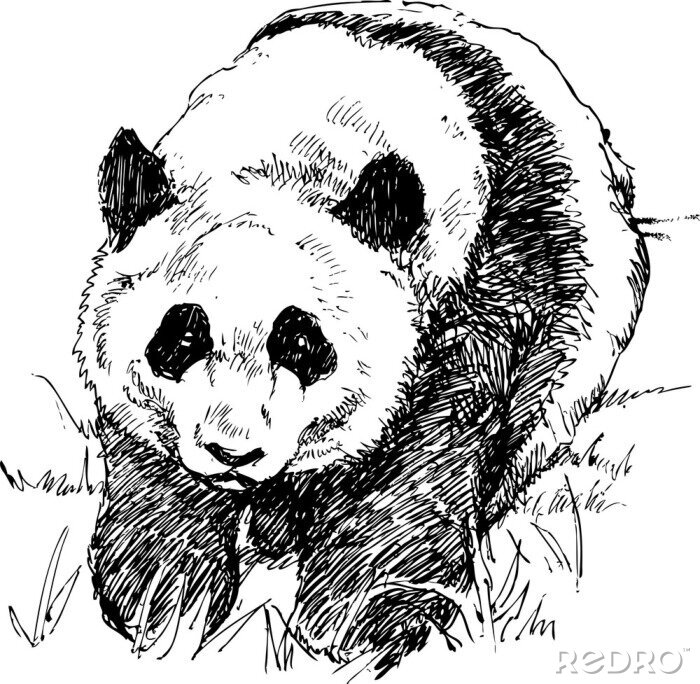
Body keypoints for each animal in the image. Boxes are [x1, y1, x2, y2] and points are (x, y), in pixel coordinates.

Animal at [75, 0, 648, 674]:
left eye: (300, 344)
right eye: (182, 339)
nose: (233, 453)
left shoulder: (488, 276)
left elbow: (426, 447)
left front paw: (364, 620)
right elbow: (153, 454)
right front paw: (160, 597)